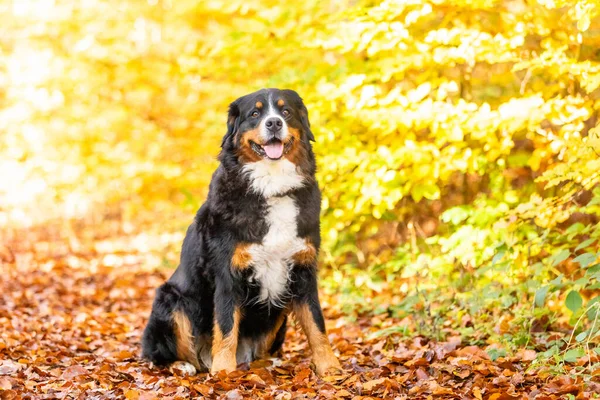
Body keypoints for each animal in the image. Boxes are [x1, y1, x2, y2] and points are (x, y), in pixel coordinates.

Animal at [142, 88, 342, 378]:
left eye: (285, 111)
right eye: (255, 113)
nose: (274, 123)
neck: (271, 188)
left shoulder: (303, 269)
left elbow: (317, 323)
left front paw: (329, 366)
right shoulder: (228, 272)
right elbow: (226, 326)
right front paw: (224, 371)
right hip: (171, 300)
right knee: (161, 355)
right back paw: (184, 365)